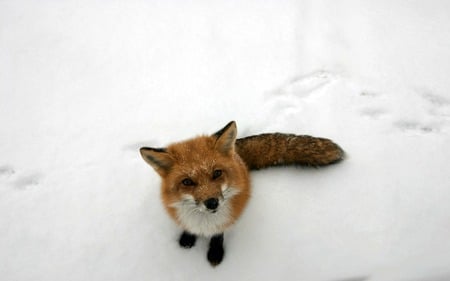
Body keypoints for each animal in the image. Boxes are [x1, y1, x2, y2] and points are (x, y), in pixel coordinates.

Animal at [141, 120, 344, 264]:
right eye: (187, 182)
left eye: (217, 173)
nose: (212, 203)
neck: (204, 222)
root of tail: (237, 153)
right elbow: (188, 228)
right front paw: (187, 239)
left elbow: (218, 235)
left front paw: (215, 253)